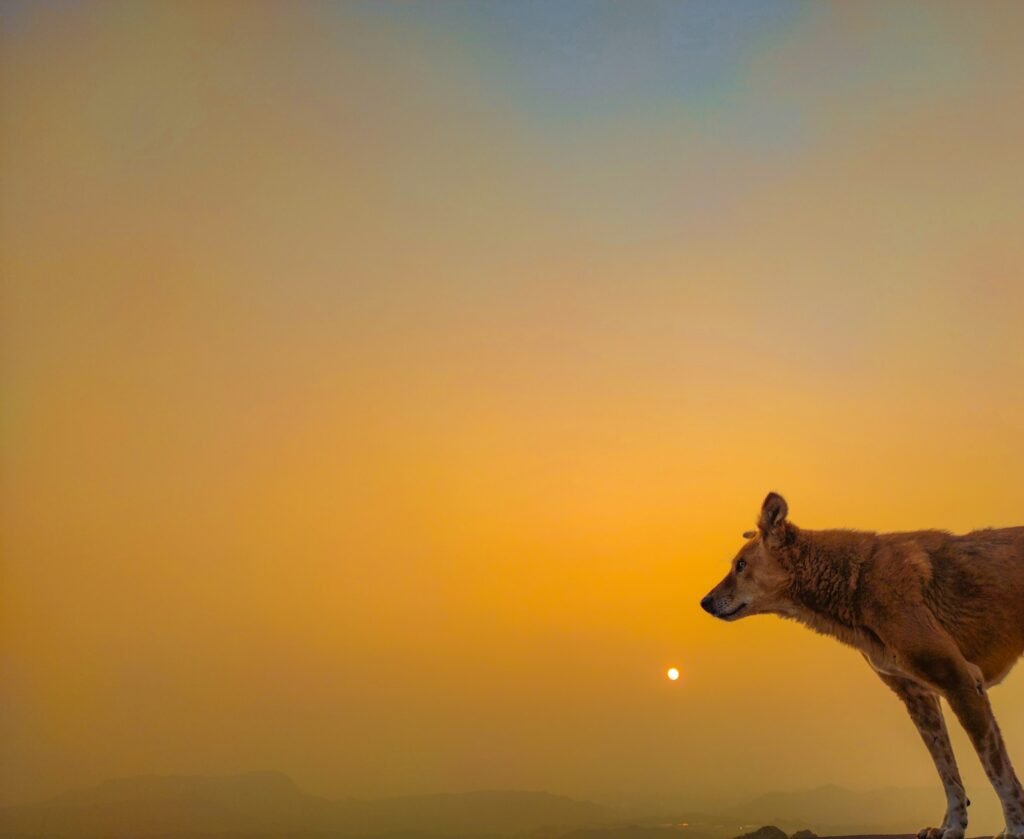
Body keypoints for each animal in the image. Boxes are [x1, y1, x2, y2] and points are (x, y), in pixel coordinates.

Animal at [701, 493, 1024, 839]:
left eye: (741, 565)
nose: (704, 602)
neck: (855, 582)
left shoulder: (960, 682)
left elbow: (998, 772)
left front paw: (1014, 828)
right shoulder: (918, 696)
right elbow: (948, 773)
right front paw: (951, 827)